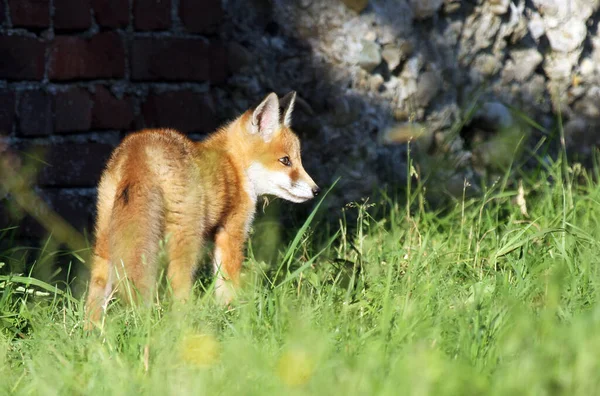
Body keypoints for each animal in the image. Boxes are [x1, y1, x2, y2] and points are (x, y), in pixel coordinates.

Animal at [85, 92, 318, 324]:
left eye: (298, 160)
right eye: (285, 160)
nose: (316, 190)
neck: (234, 166)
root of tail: (139, 150)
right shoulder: (232, 230)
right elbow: (228, 284)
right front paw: (234, 316)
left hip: (105, 239)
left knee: (97, 287)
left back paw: (93, 332)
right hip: (187, 240)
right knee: (177, 284)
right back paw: (186, 325)